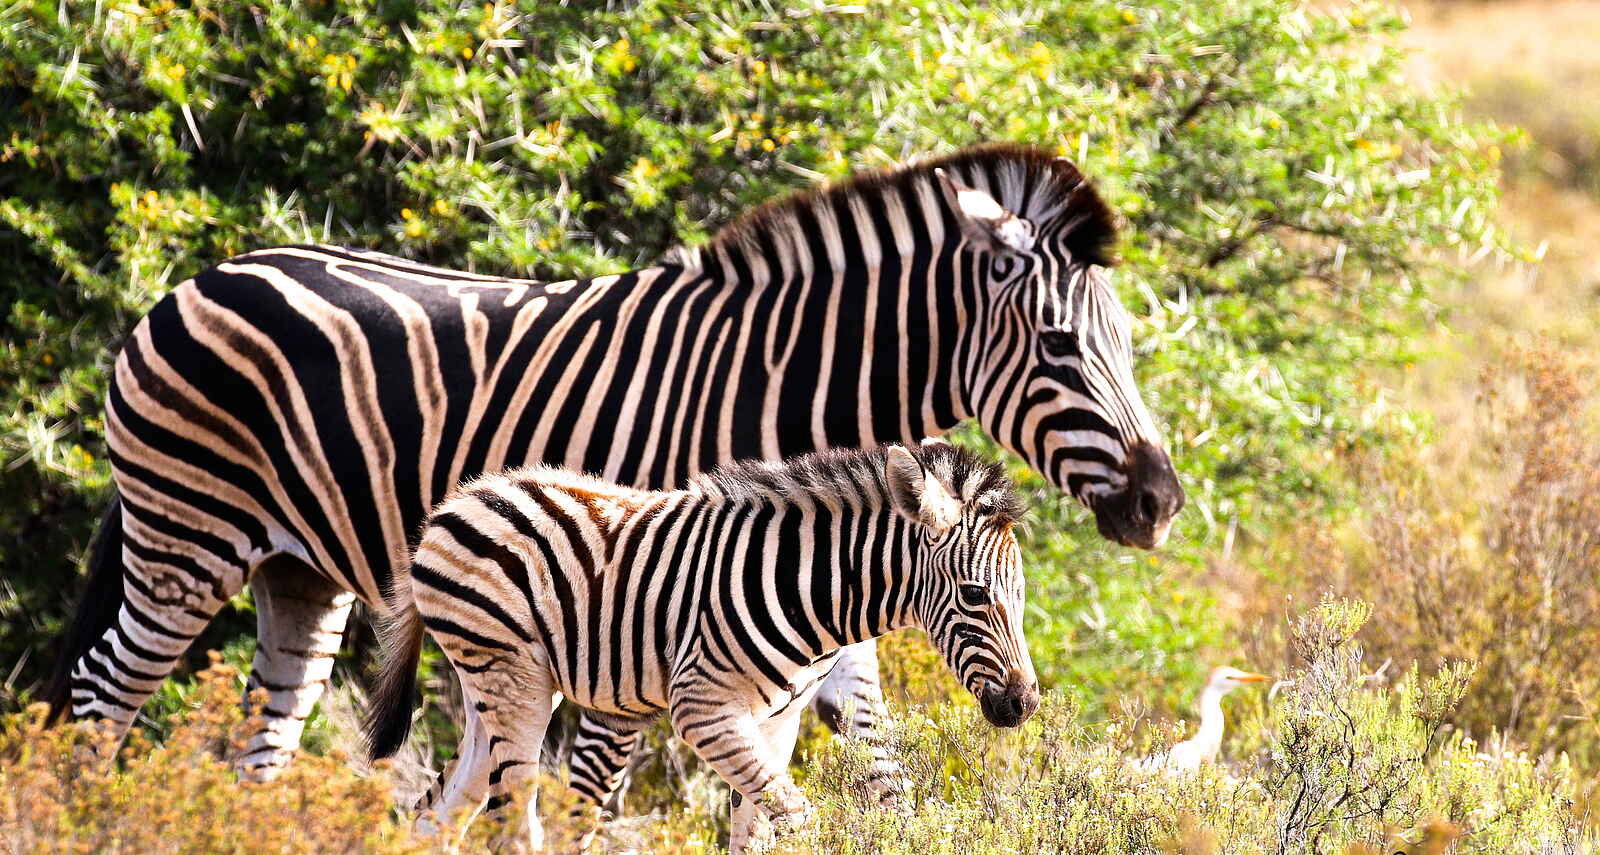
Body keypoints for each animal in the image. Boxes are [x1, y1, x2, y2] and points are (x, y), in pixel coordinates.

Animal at [44, 142, 1182, 812]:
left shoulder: (818, 580)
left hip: (298, 573)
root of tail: (193, 281)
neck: (773, 384)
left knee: (261, 736)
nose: (1161, 504)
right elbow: (601, 777)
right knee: (101, 700)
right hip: (186, 540)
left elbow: (873, 755)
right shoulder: (641, 586)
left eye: (1126, 343)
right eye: (1057, 346)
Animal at [365, 441, 1039, 853]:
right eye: (976, 594)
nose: (1026, 706)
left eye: (1021, 594)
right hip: (512, 680)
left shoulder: (777, 721)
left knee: (437, 813)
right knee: (512, 823)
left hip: (499, 687)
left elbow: (756, 830)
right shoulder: (702, 708)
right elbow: (799, 817)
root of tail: (454, 501)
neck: (809, 590)